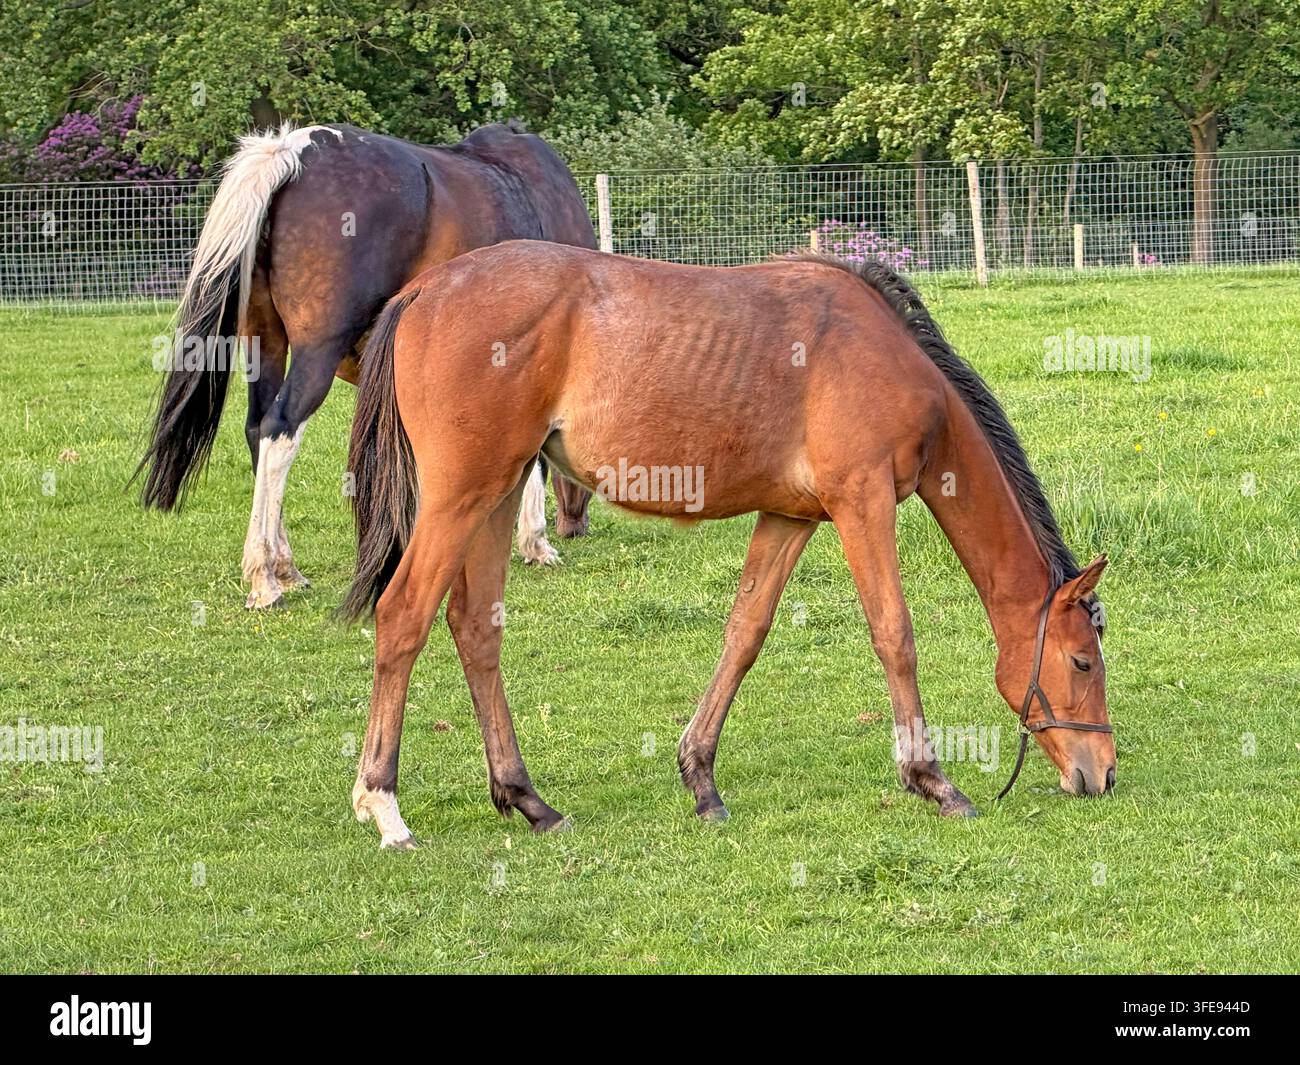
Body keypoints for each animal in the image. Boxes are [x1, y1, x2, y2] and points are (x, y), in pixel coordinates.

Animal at [135, 123, 595, 609]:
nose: (575, 527)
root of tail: (291, 152)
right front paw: (535, 541)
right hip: (317, 352)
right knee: (280, 430)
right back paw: (265, 578)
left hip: (266, 344)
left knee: (257, 431)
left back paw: (285, 566)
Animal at [338, 239, 1116, 848]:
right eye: (1081, 660)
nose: (1102, 772)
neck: (884, 350)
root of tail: (424, 290)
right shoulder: (862, 502)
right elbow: (894, 633)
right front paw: (932, 779)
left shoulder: (791, 517)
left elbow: (745, 631)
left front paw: (701, 778)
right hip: (460, 497)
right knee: (403, 617)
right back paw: (384, 806)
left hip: (498, 493)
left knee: (475, 627)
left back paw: (528, 799)